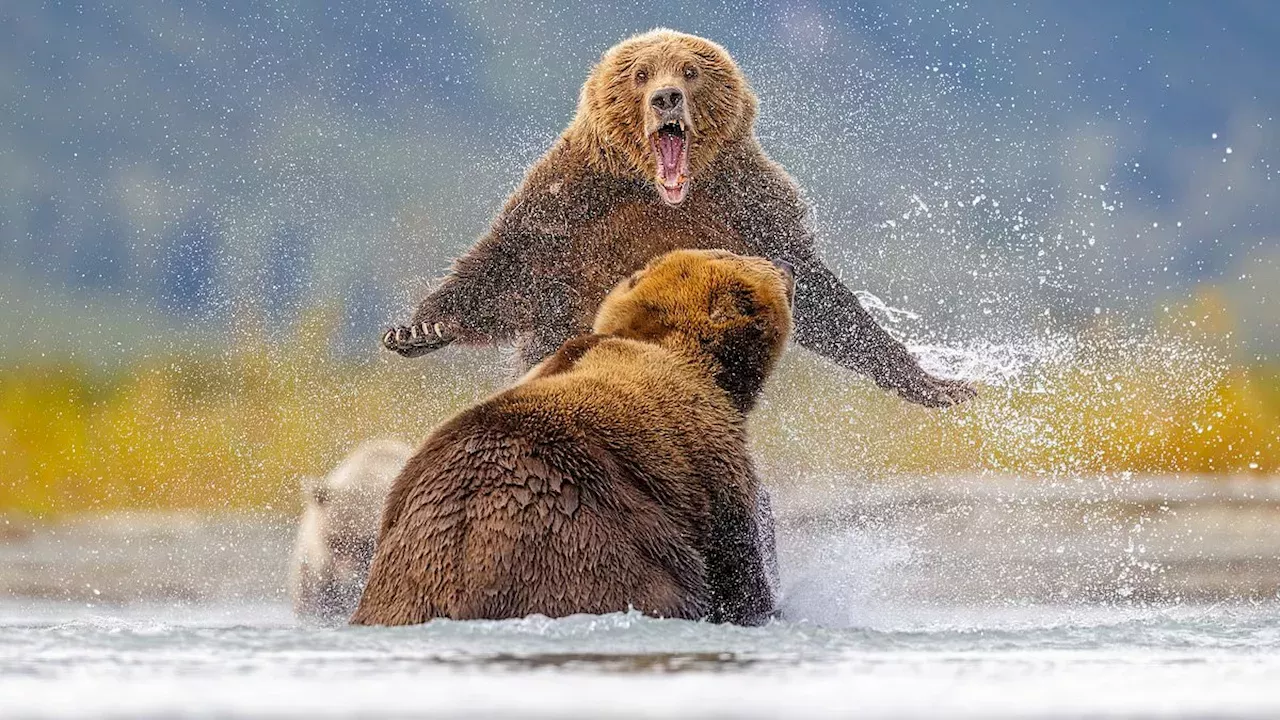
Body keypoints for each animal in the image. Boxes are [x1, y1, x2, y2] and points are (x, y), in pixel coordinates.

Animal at [351, 249, 793, 626]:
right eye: (731, 254)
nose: (785, 264)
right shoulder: (710, 453)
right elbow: (737, 559)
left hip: (403, 579)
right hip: (589, 548)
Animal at [382, 28, 973, 409]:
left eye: (689, 70)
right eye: (642, 73)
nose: (667, 97)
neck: (664, 194)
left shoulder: (746, 204)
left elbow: (816, 293)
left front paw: (936, 383)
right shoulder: (571, 204)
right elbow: (506, 265)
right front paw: (420, 327)